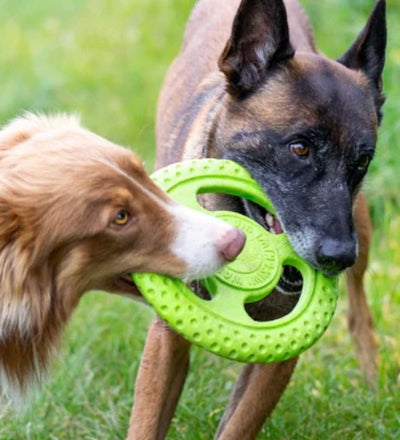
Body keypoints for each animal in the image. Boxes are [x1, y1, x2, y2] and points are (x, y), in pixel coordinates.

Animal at [127, 0, 384, 440]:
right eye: (299, 148)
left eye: (362, 161)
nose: (338, 256)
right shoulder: (166, 338)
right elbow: (146, 423)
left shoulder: (280, 356)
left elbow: (238, 426)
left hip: (362, 227)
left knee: (359, 311)